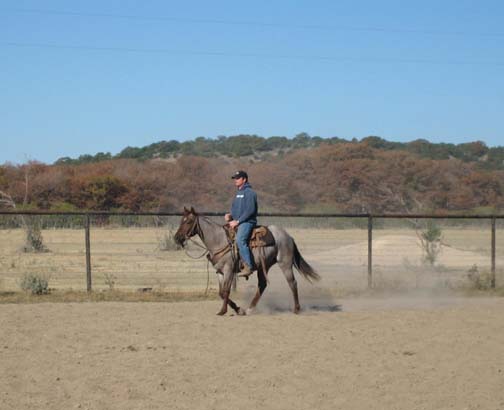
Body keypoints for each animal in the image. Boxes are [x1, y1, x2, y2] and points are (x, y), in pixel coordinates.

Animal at [173, 207, 318, 316]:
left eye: (189, 221)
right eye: (181, 220)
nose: (177, 238)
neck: (219, 240)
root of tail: (288, 236)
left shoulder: (229, 270)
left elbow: (225, 291)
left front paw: (223, 311)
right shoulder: (220, 272)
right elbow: (221, 292)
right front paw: (238, 310)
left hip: (285, 263)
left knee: (292, 283)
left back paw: (296, 309)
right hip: (264, 266)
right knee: (262, 285)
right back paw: (249, 309)